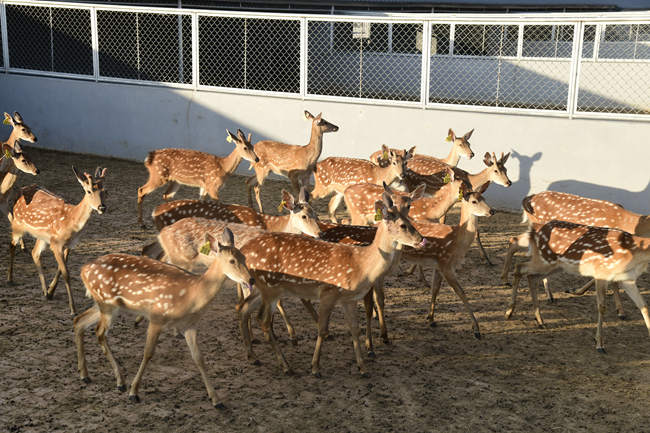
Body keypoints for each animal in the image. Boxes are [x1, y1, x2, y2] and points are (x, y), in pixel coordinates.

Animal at [7, 166, 107, 314]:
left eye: (105, 191)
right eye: (89, 191)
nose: (102, 207)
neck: (71, 223)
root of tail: (21, 190)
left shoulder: (69, 245)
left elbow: (61, 270)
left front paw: (50, 291)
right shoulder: (56, 243)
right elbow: (66, 274)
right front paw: (73, 309)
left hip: (41, 237)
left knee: (35, 253)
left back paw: (44, 291)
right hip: (17, 224)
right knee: (12, 244)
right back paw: (10, 279)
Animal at [72, 228, 252, 406]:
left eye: (244, 257)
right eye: (232, 261)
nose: (250, 279)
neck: (191, 295)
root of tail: (83, 270)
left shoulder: (190, 325)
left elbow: (198, 358)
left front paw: (216, 399)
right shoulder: (156, 317)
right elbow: (148, 353)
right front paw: (133, 392)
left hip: (104, 304)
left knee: (79, 321)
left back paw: (84, 375)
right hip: (107, 303)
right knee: (99, 332)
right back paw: (120, 382)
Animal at [235, 194, 422, 376]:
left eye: (410, 218)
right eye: (403, 225)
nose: (421, 239)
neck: (361, 265)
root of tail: (244, 251)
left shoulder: (348, 299)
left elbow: (355, 329)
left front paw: (362, 368)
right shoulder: (328, 292)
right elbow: (322, 329)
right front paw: (315, 367)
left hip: (261, 288)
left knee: (243, 308)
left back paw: (253, 356)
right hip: (270, 286)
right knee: (263, 320)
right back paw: (286, 366)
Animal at [506, 219, 648, 352]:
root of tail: (534, 229)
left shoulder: (627, 279)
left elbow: (643, 306)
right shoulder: (601, 272)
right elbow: (602, 307)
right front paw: (599, 344)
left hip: (554, 266)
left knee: (531, 277)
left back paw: (540, 320)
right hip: (545, 260)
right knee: (520, 267)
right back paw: (509, 312)